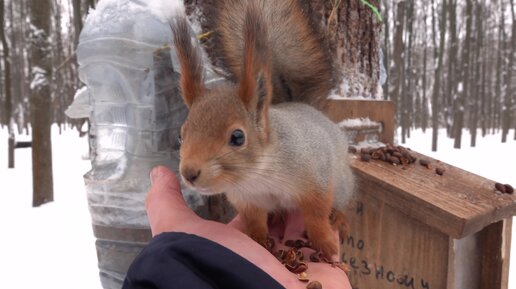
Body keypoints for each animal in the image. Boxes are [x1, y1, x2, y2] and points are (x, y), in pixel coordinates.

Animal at [171, 0, 352, 256]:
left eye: (238, 137)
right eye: (180, 135)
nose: (189, 173)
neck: (257, 176)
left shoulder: (316, 179)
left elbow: (316, 216)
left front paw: (325, 243)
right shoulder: (246, 200)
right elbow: (254, 220)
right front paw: (257, 240)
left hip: (343, 183)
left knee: (341, 202)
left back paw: (340, 218)